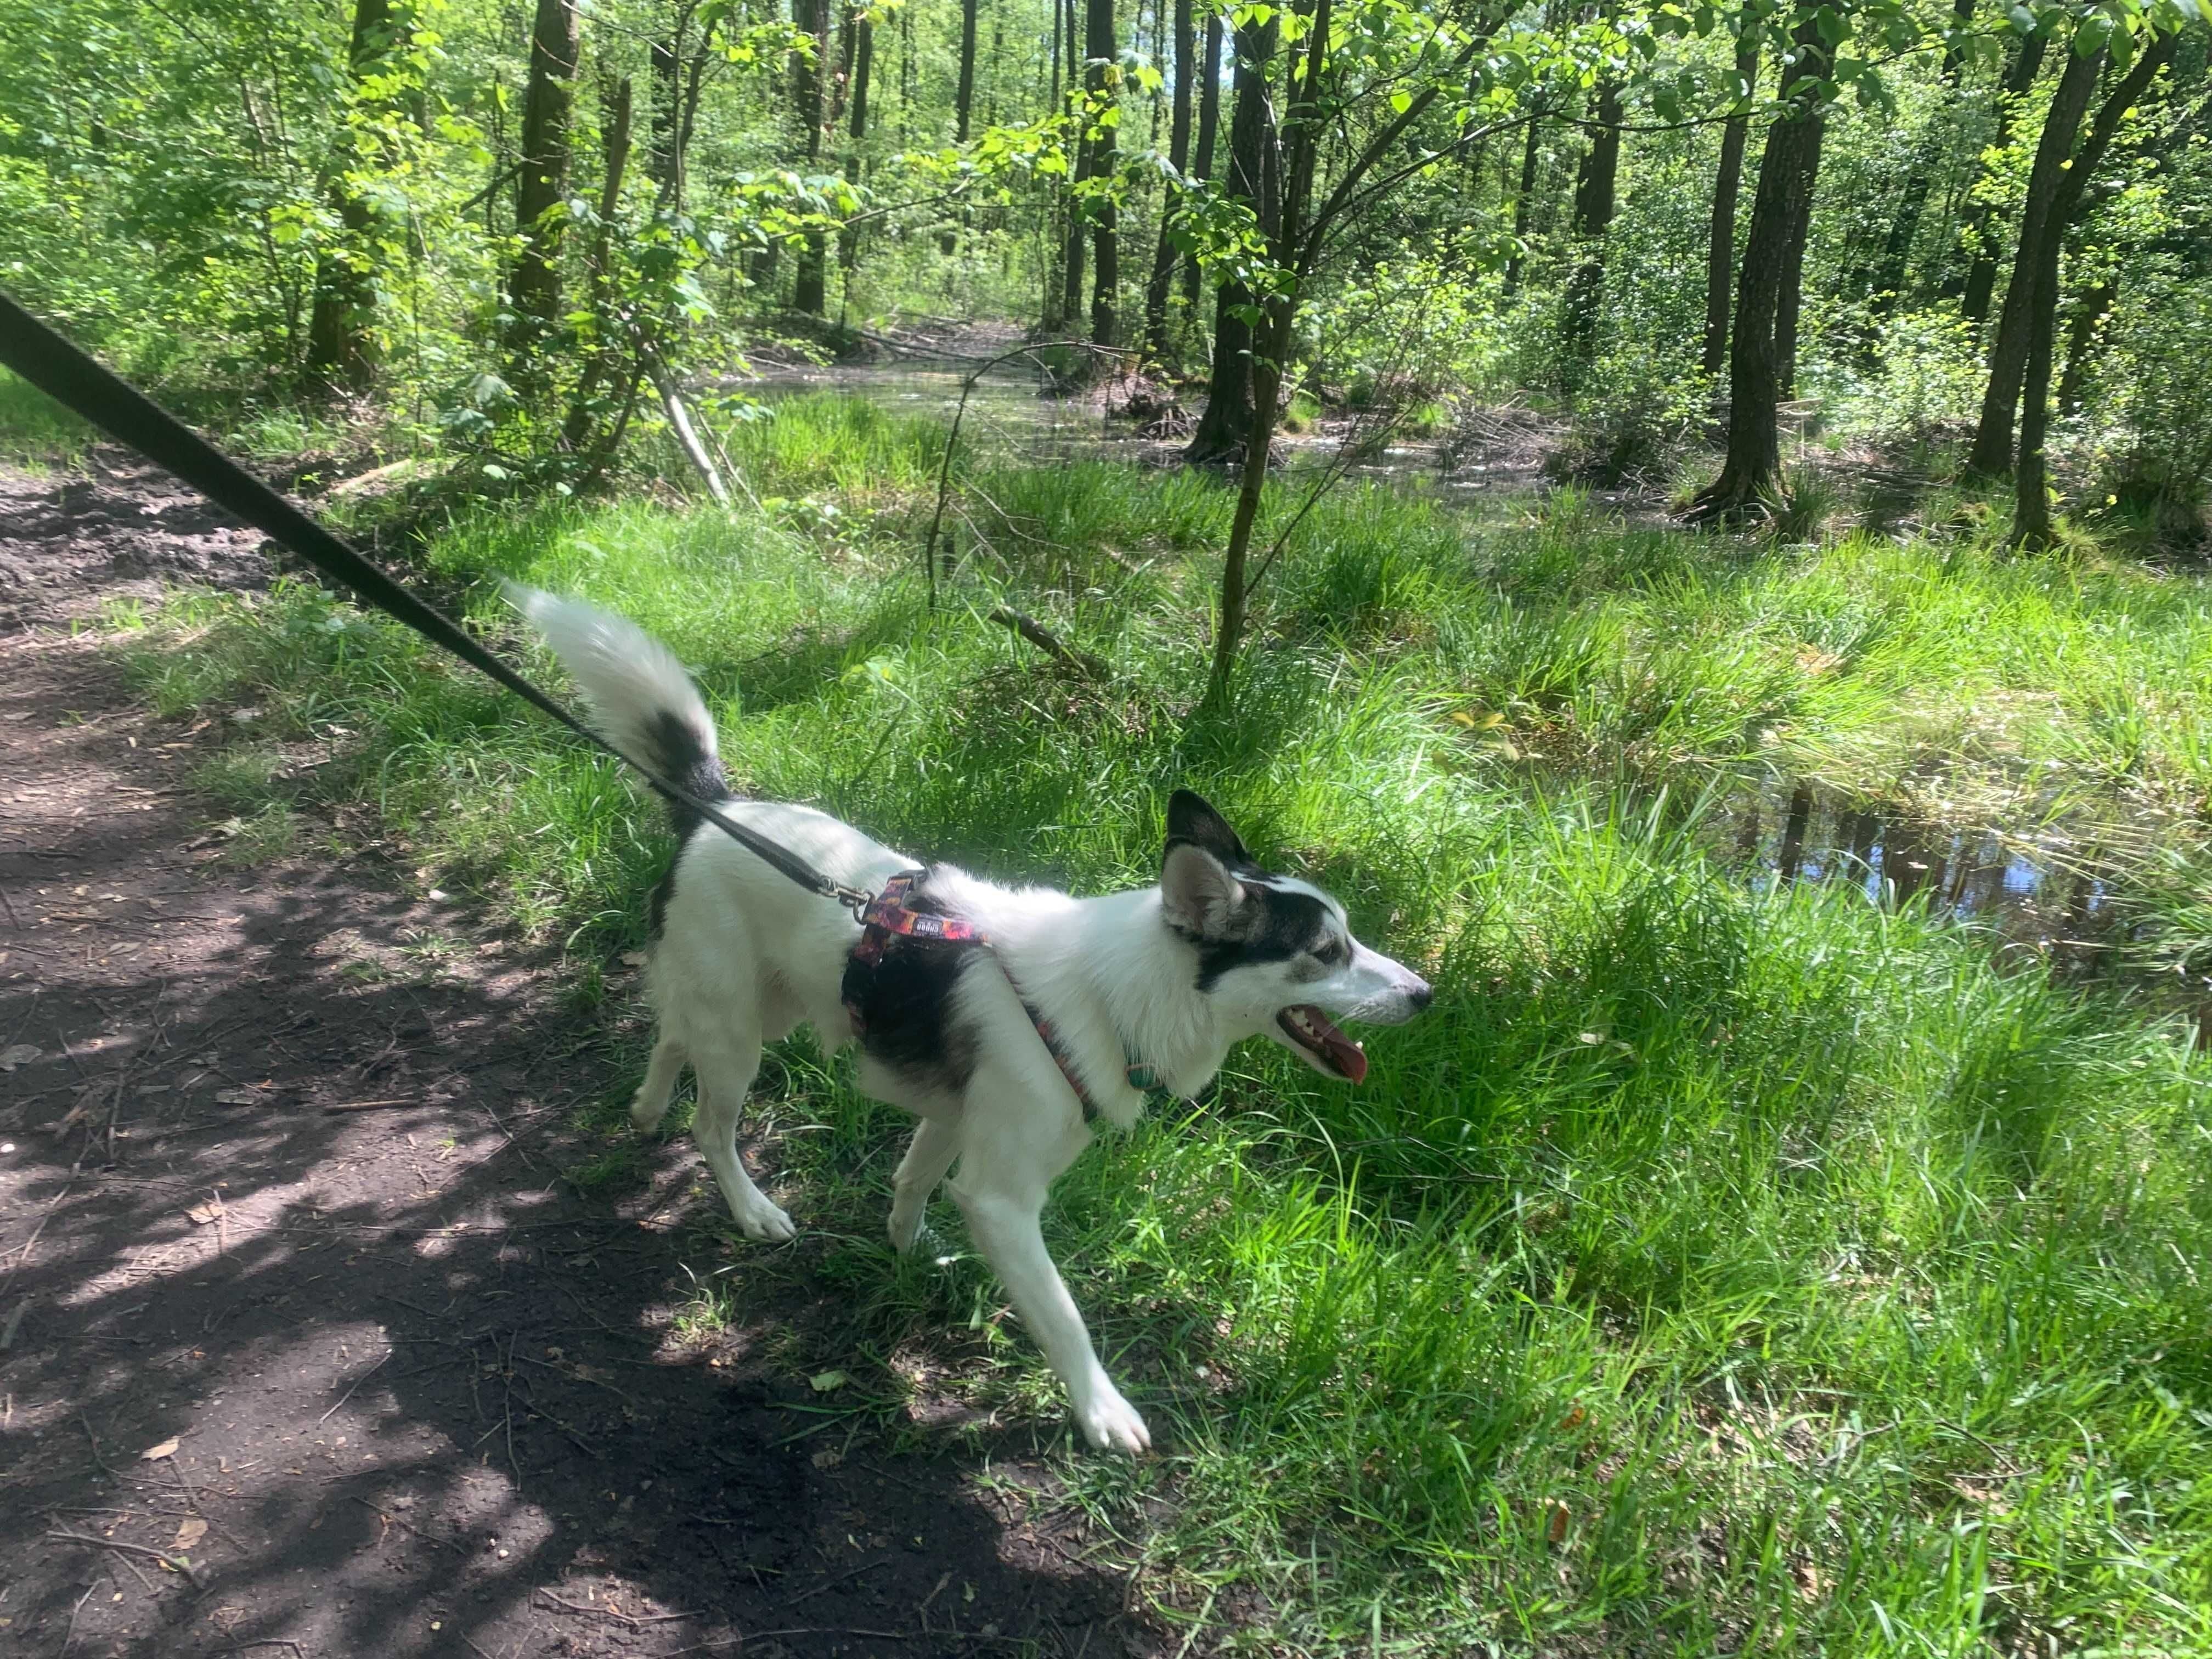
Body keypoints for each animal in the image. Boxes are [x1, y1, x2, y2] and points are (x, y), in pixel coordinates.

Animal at [517, 592, 1433, 1451]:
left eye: (1349, 939)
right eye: (1325, 953)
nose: (1426, 995)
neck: (1112, 994)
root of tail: (716, 807)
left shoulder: (956, 1122)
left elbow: (913, 1182)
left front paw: (906, 1248)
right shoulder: (1004, 1197)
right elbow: (1061, 1314)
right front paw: (1102, 1410)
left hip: (755, 1009)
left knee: (672, 1033)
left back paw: (645, 1108)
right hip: (742, 1036)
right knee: (710, 1125)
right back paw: (750, 1209)